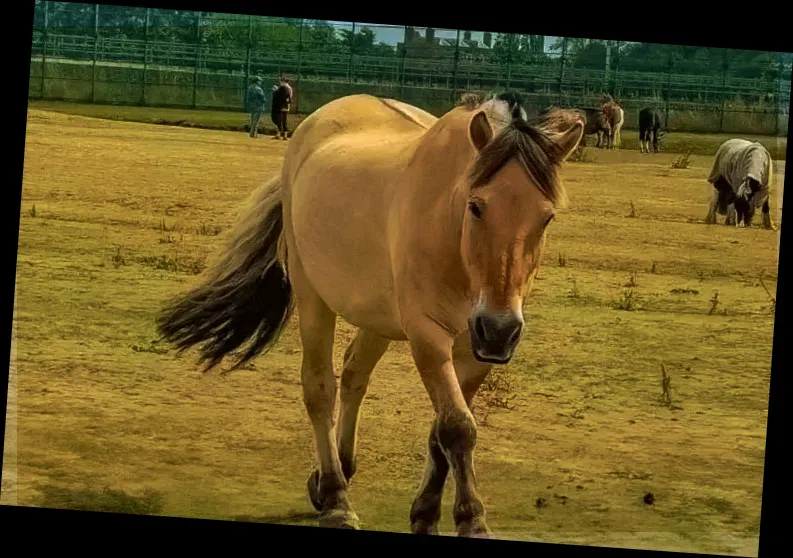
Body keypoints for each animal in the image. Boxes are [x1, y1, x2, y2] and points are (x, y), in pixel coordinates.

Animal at [158, 92, 584, 540]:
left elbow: (441, 430)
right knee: (320, 388)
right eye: (476, 206)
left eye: (547, 217)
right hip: (313, 295)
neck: (449, 231)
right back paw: (335, 497)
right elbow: (457, 427)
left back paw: (334, 474)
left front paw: (425, 513)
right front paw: (472, 520)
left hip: (378, 317)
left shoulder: (474, 349)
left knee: (354, 372)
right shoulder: (427, 335)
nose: (500, 329)